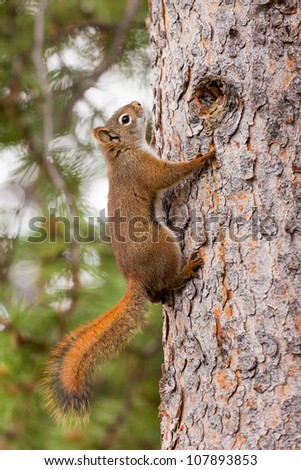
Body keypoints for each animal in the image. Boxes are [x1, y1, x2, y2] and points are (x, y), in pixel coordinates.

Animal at [44, 100, 213, 422]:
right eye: (125, 119)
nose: (137, 103)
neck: (123, 153)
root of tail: (135, 278)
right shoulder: (144, 169)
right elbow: (168, 175)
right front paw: (203, 158)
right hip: (163, 244)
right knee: (168, 281)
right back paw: (187, 269)